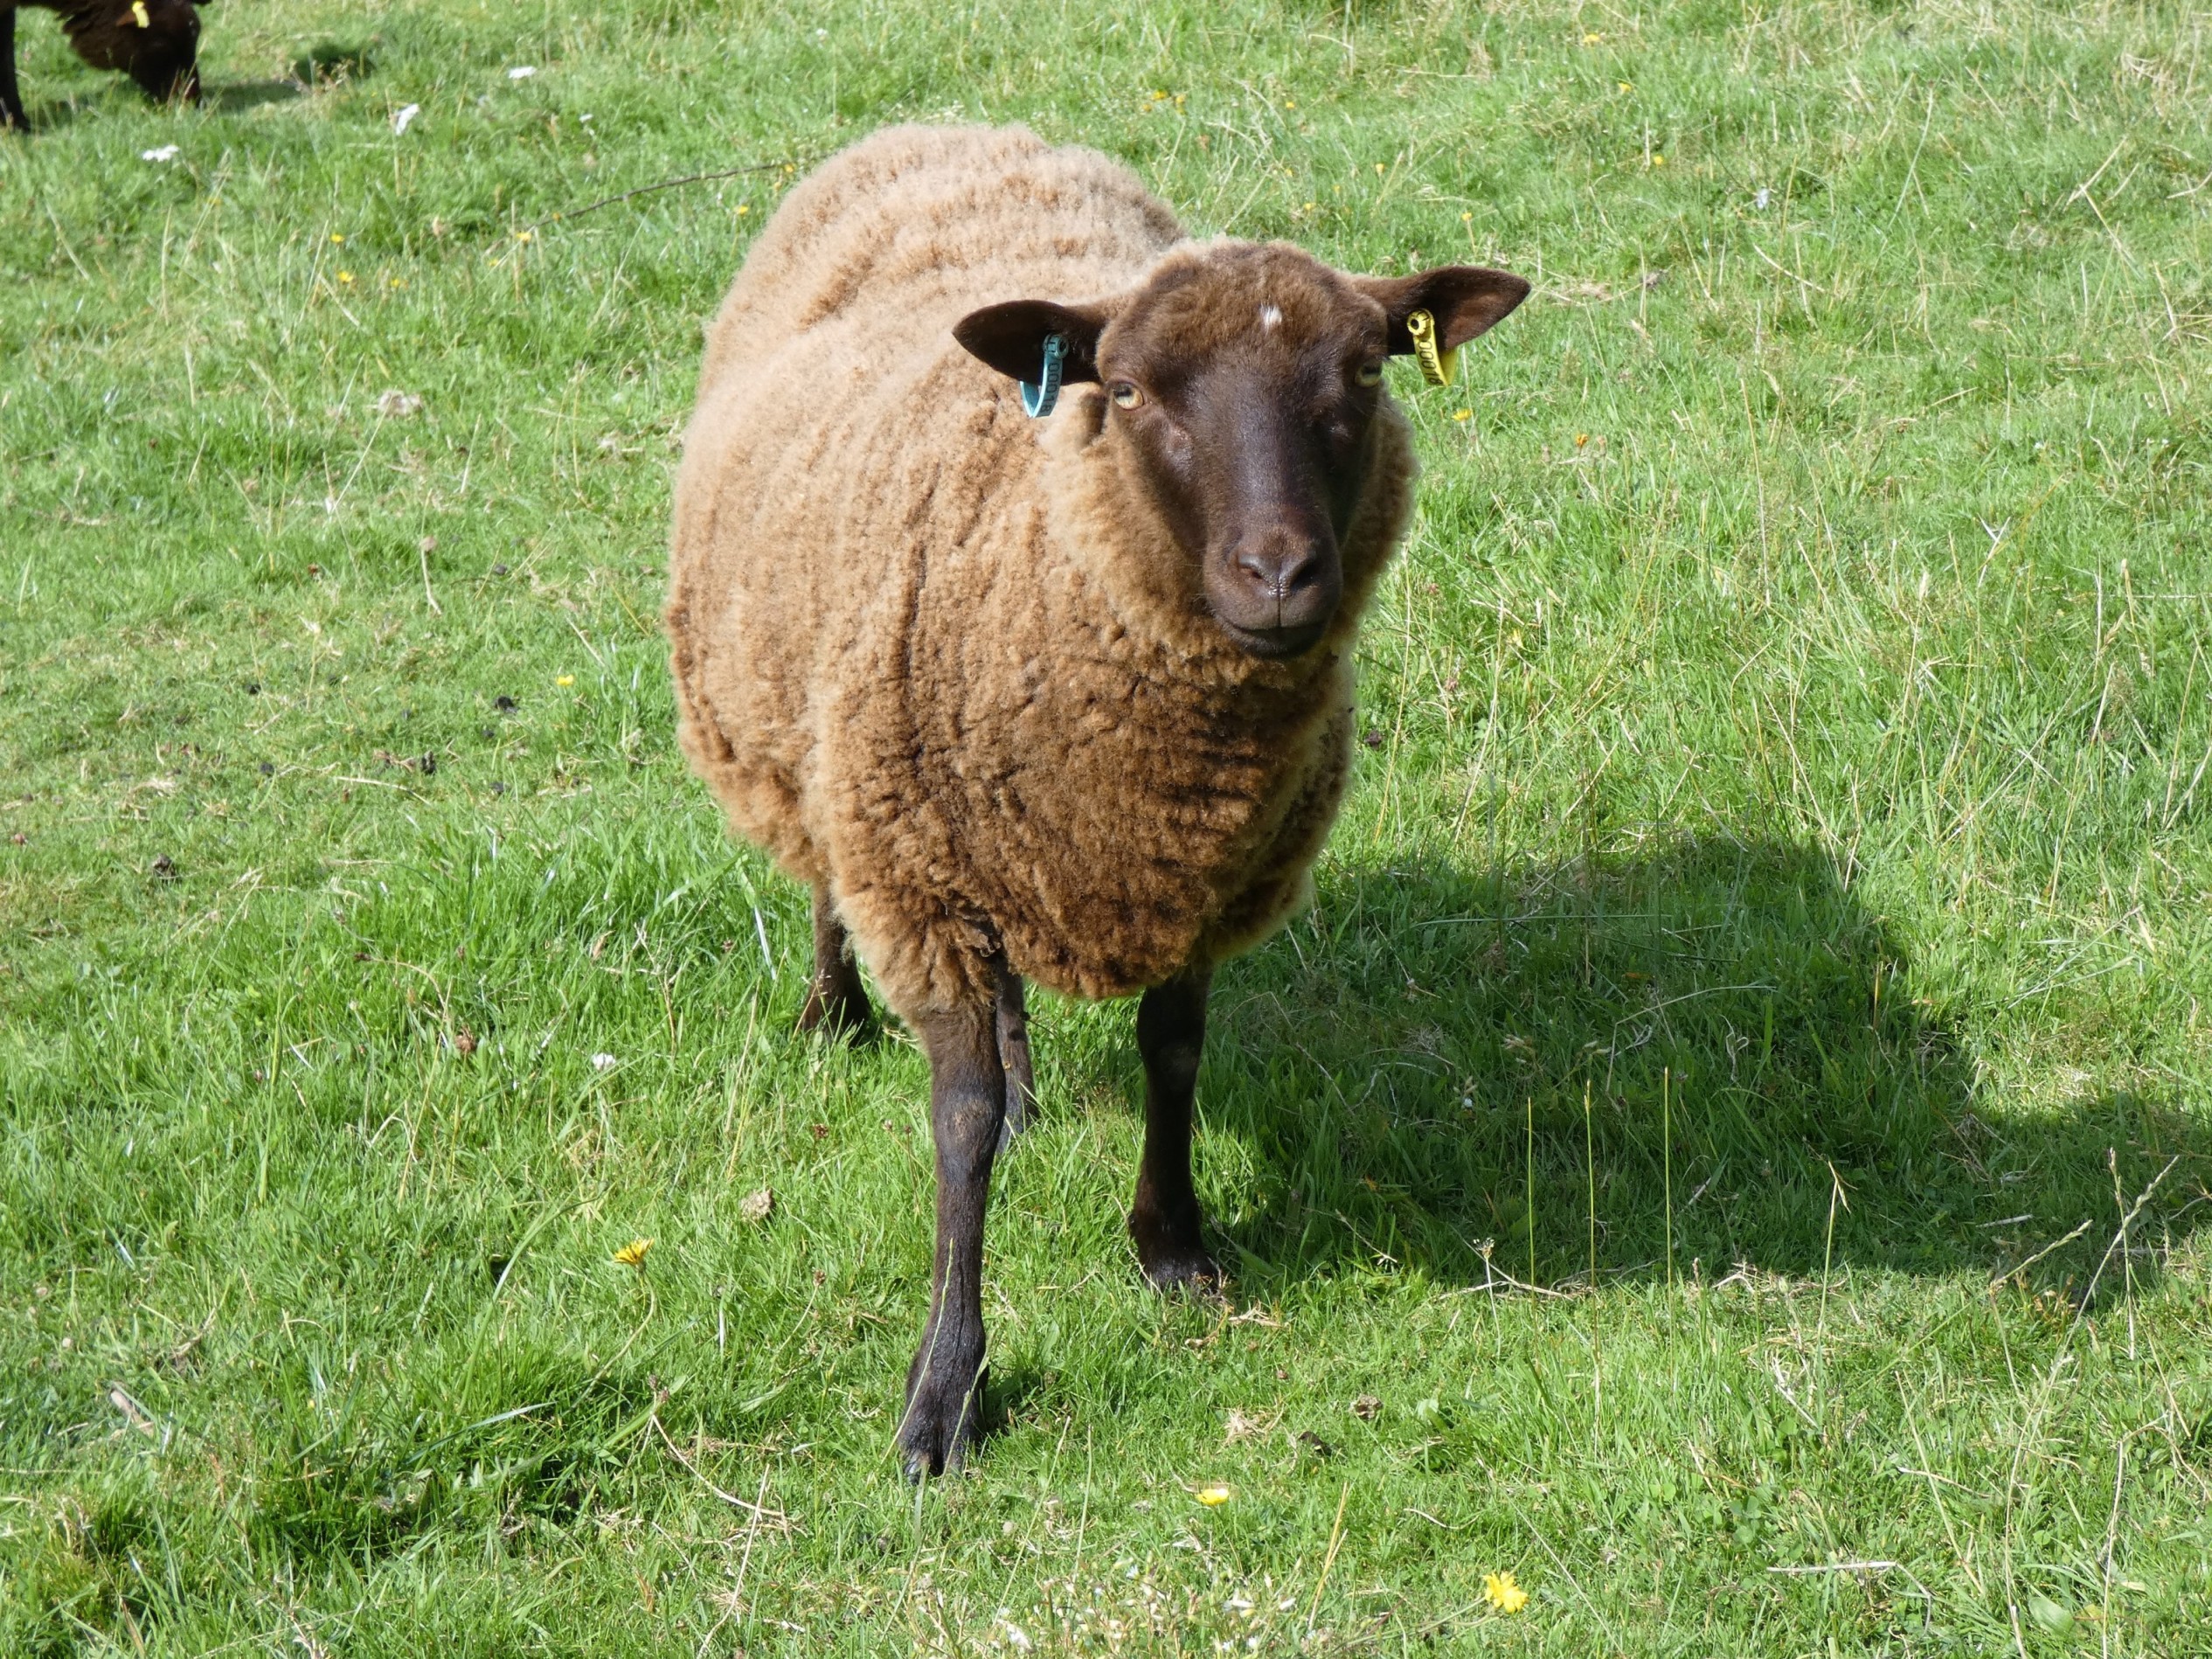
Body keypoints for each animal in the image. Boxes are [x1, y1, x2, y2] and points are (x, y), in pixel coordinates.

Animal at [663, 129, 1530, 1477]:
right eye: (1123, 392)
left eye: (1366, 371)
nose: (1278, 573)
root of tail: (941, 128)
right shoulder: (914, 874)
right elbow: (958, 1128)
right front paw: (943, 1391)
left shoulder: (1208, 875)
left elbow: (1170, 1053)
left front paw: (1171, 1244)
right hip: (811, 731)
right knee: (819, 876)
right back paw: (833, 1009)